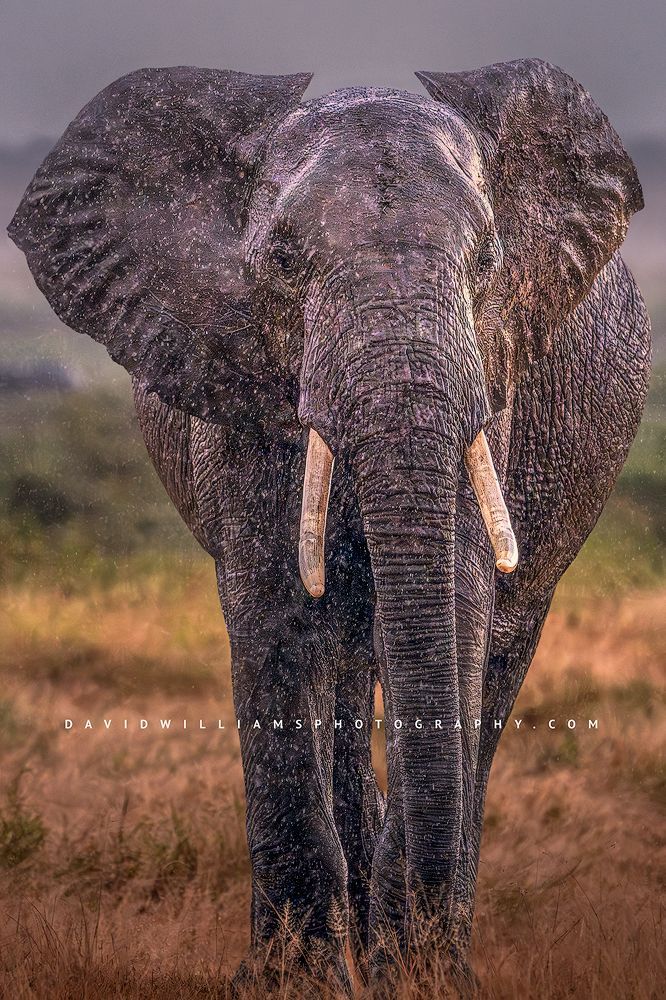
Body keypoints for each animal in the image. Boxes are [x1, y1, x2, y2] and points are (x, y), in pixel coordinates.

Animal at [9, 59, 650, 988]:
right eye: (280, 260)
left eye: (490, 259)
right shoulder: (236, 379)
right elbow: (276, 616)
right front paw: (292, 985)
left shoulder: (493, 371)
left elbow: (456, 610)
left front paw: (422, 978)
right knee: (346, 662)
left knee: (492, 664)